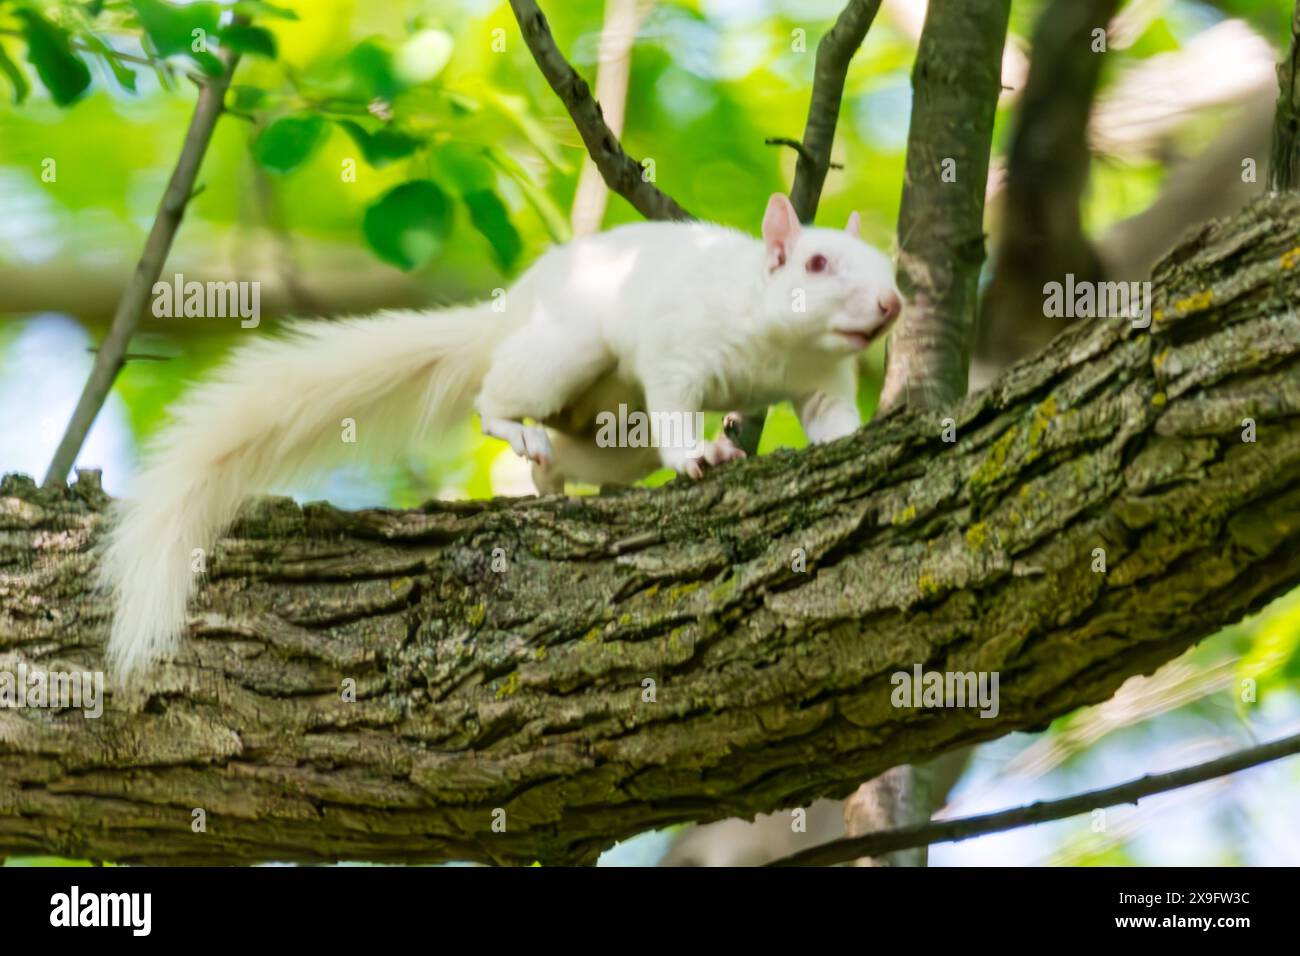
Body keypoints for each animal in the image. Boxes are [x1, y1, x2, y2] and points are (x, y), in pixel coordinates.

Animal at [98, 191, 904, 676]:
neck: (777, 339)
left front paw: (856, 440)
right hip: (566, 352)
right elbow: (678, 409)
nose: (892, 304)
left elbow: (834, 419)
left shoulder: (822, 380)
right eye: (816, 262)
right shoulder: (680, 347)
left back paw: (550, 476)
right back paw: (518, 431)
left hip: (616, 432)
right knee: (496, 395)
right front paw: (704, 451)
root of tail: (510, 313)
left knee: (579, 452)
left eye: (890, 266)